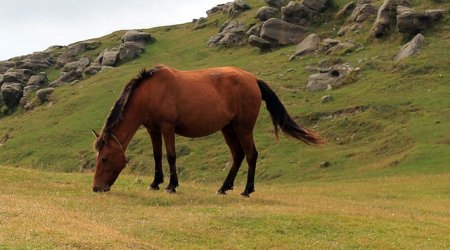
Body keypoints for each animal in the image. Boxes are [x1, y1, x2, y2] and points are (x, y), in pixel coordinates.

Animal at [92, 65, 324, 196]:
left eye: (104, 158)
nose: (96, 188)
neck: (151, 92)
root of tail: (253, 79)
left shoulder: (167, 128)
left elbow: (171, 156)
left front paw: (171, 186)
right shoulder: (153, 129)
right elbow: (157, 156)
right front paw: (155, 183)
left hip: (243, 128)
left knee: (251, 155)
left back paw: (247, 190)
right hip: (228, 129)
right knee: (238, 155)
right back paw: (224, 187)